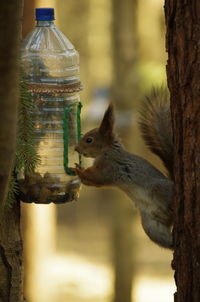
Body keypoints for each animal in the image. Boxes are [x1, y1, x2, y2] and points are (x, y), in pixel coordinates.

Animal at [72, 89, 174, 250]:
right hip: (151, 226)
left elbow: (95, 178)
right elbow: (92, 181)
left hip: (160, 189)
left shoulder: (109, 167)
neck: (108, 151)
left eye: (89, 140)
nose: (76, 148)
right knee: (164, 238)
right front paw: (78, 167)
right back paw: (173, 243)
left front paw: (77, 169)